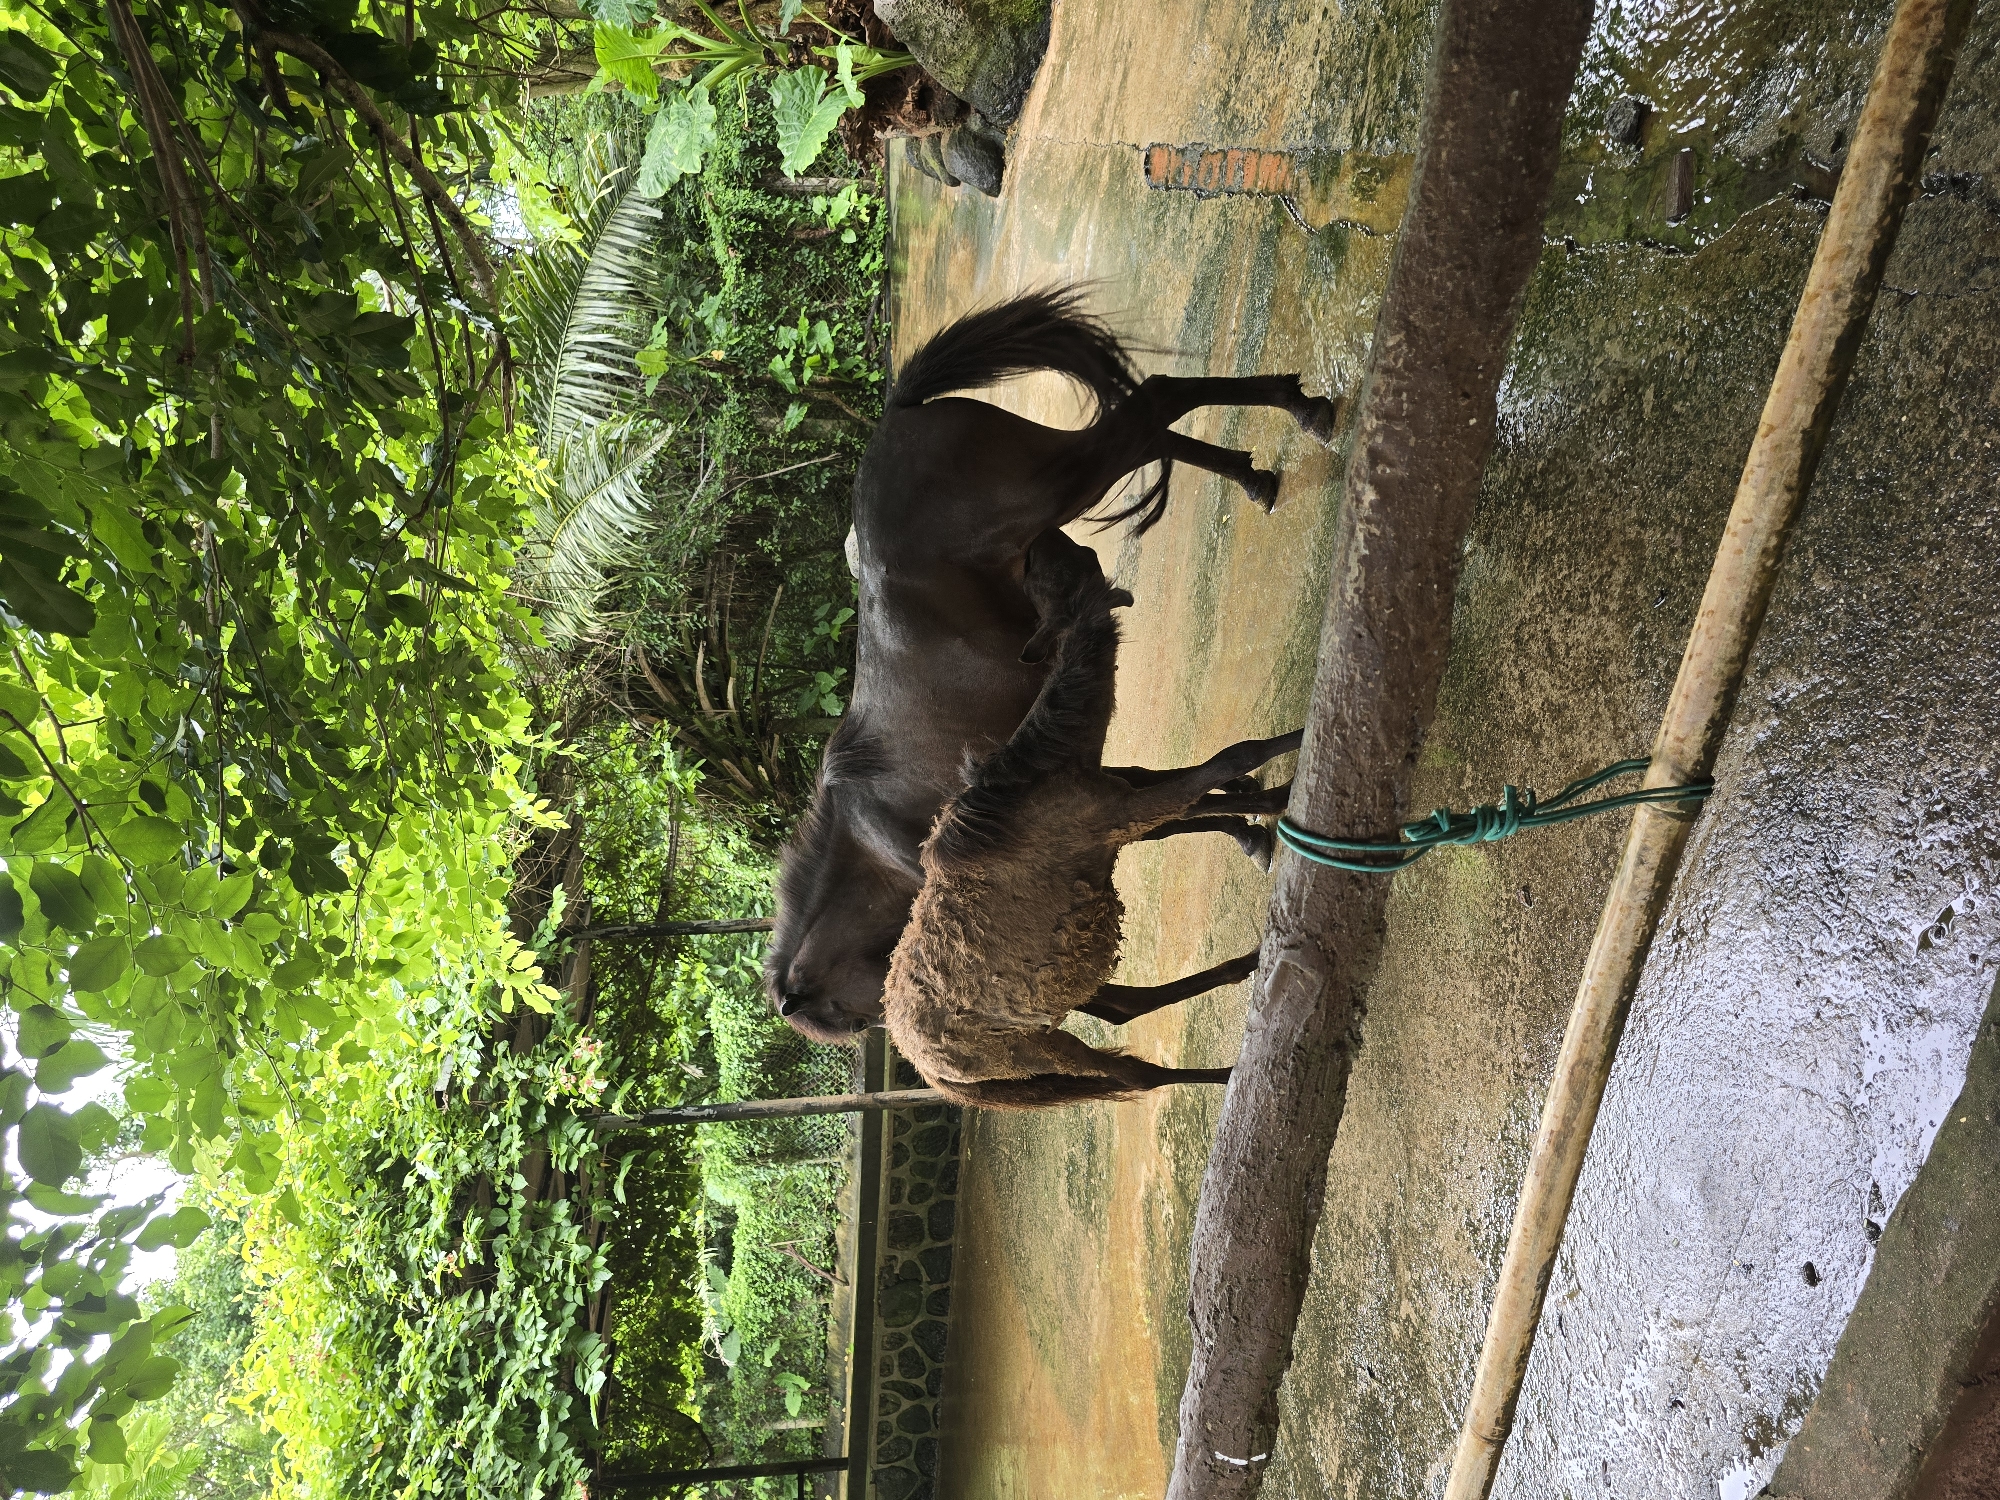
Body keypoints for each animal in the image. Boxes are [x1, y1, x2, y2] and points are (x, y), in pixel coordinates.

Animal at [764, 289, 1339, 1043]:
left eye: (847, 1018)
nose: (909, 1016)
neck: (876, 839)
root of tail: (899, 415)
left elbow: (1173, 809)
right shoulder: (1078, 780)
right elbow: (1177, 804)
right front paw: (1255, 818)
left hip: (1058, 482)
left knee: (1156, 404)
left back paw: (1302, 414)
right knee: (1154, 429)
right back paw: (1258, 473)